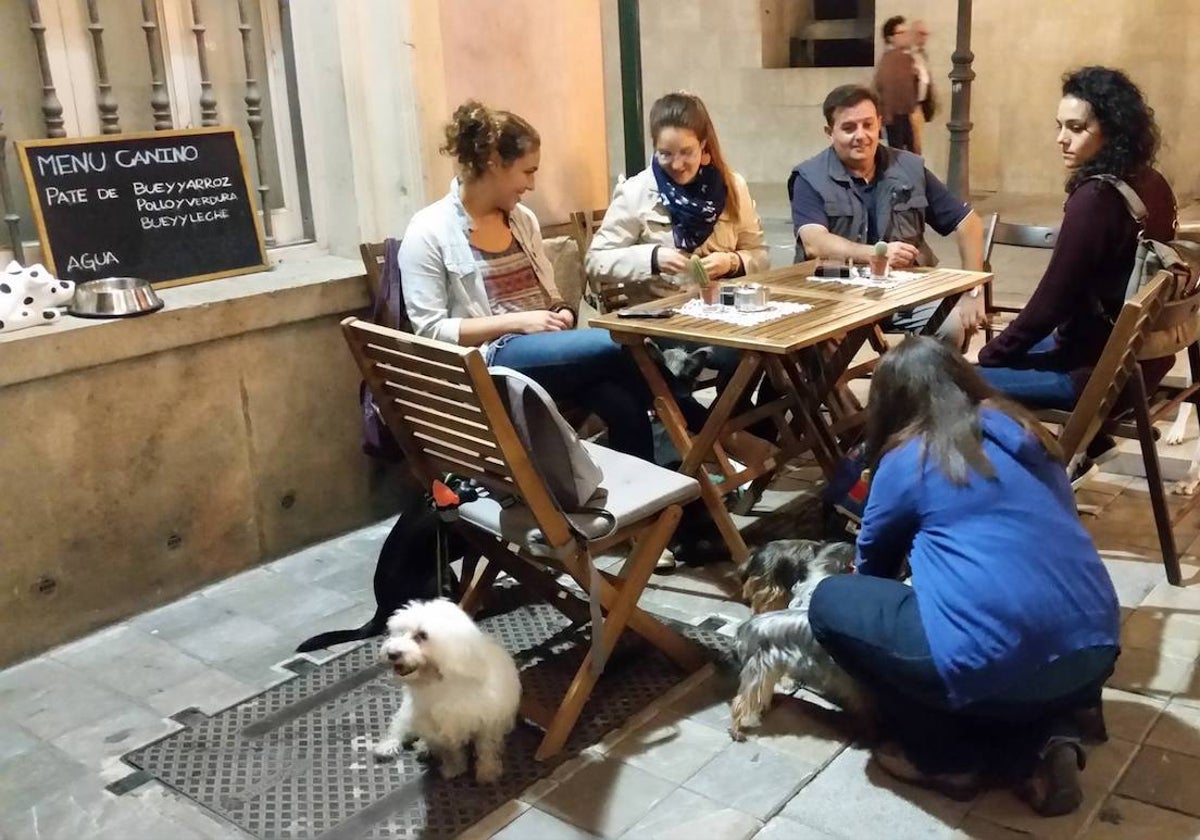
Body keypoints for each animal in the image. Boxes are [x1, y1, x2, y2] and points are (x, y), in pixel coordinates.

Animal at [369, 597, 520, 782]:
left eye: (422, 635)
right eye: (399, 632)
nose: (391, 653)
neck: (441, 682)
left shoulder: (488, 722)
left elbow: (486, 748)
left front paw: (487, 771)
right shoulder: (440, 727)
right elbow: (451, 751)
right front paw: (454, 768)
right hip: (409, 712)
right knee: (399, 726)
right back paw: (390, 745)